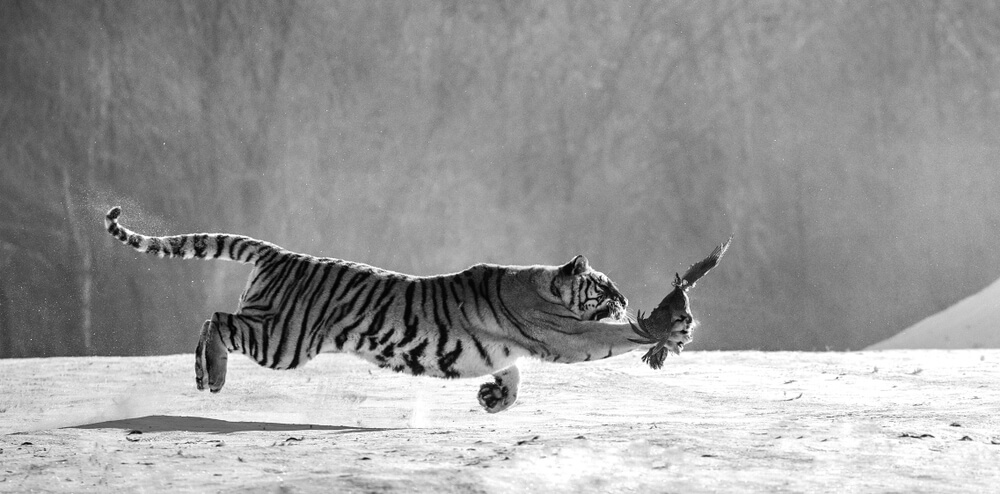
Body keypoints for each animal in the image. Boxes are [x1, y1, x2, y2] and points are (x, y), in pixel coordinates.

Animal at [103, 206, 683, 413]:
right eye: (605, 287)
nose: (625, 299)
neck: (544, 285)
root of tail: (279, 253)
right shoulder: (563, 335)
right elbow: (610, 338)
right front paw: (660, 327)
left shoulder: (509, 350)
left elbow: (512, 374)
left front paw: (494, 398)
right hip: (283, 341)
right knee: (216, 320)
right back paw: (212, 377)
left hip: (275, 332)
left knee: (216, 319)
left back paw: (206, 376)